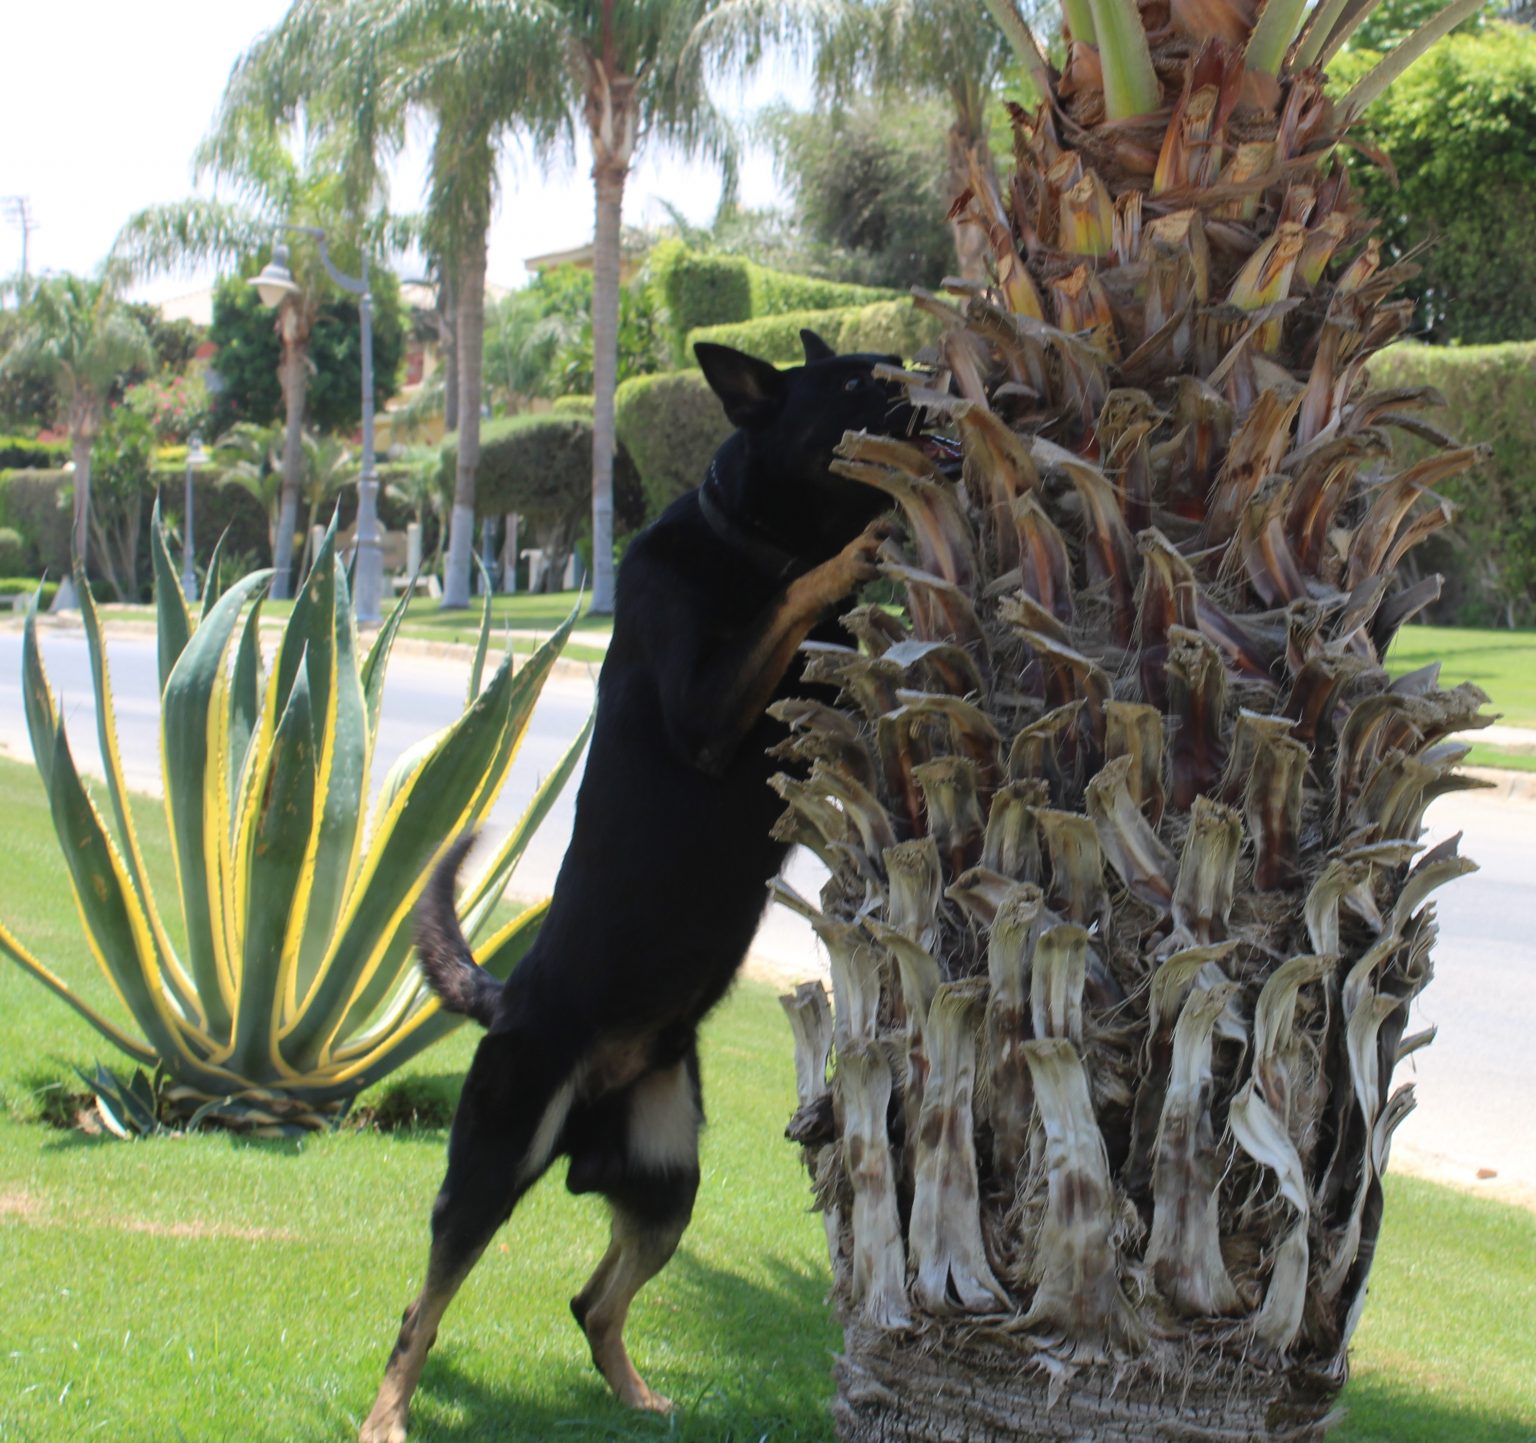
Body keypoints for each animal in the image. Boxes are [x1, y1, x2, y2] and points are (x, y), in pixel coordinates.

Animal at [359, 330, 909, 1443]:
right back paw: (388, 1414)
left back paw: (638, 1396)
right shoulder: (709, 707)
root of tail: (508, 999)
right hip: (497, 1156)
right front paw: (856, 553)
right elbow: (795, 597)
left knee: (591, 1299)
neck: (747, 535)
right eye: (858, 383)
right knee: (423, 1303)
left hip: (667, 1176)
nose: (924, 380)